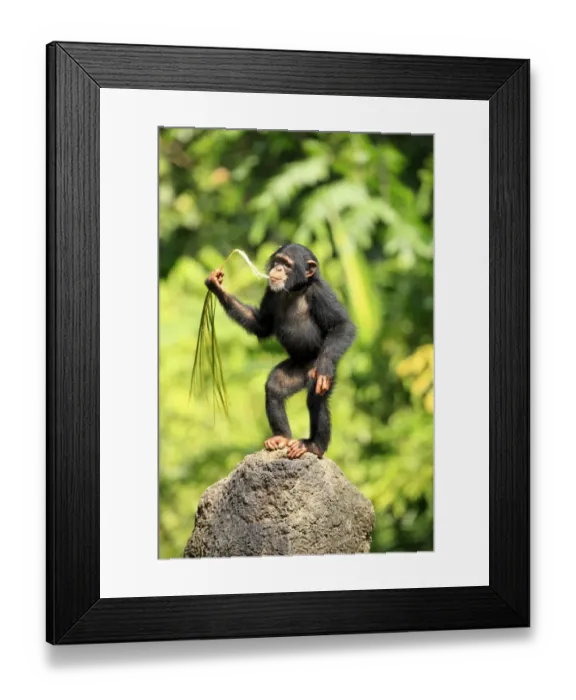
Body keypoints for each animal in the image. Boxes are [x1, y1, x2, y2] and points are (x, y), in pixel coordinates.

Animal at [205, 243, 356, 459]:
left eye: (287, 264)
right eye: (278, 261)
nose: (276, 269)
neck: (296, 289)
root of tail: (305, 367)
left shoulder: (321, 293)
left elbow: (341, 325)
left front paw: (325, 365)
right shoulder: (271, 291)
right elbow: (261, 324)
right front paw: (216, 285)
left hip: (319, 369)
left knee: (315, 396)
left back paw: (314, 446)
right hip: (295, 371)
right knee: (274, 388)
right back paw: (281, 437)